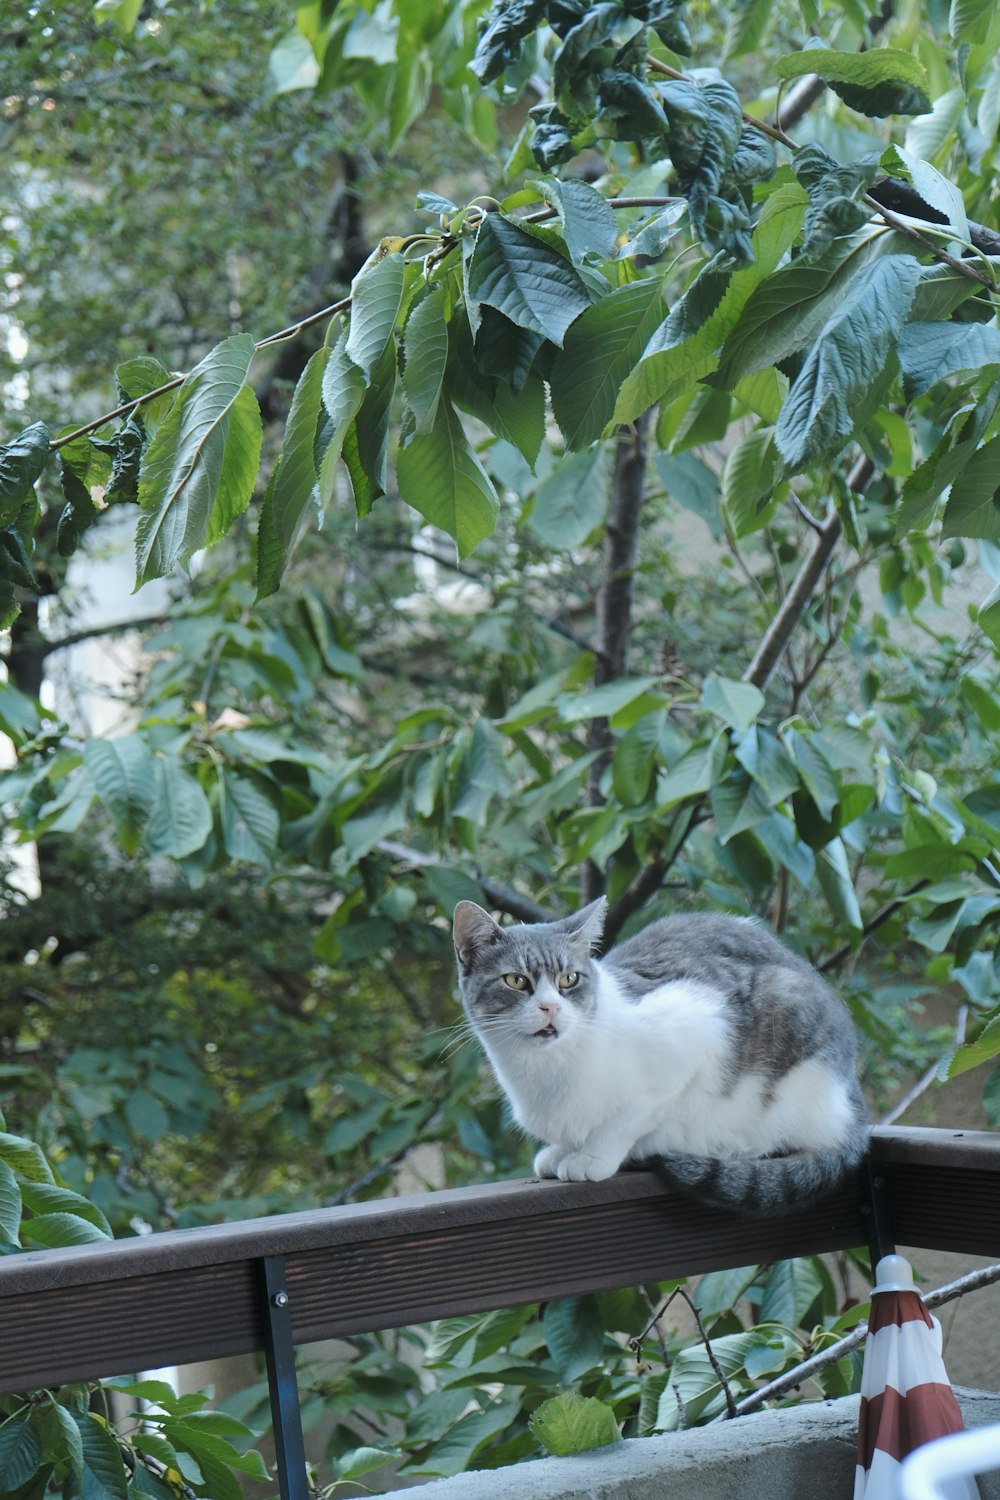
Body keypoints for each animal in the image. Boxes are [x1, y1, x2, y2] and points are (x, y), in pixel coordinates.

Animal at [452, 894, 869, 1212]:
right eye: (516, 980)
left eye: (568, 979)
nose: (550, 1008)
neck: (545, 1071)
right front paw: (561, 1150)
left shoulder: (696, 1029)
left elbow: (630, 1117)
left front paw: (592, 1156)